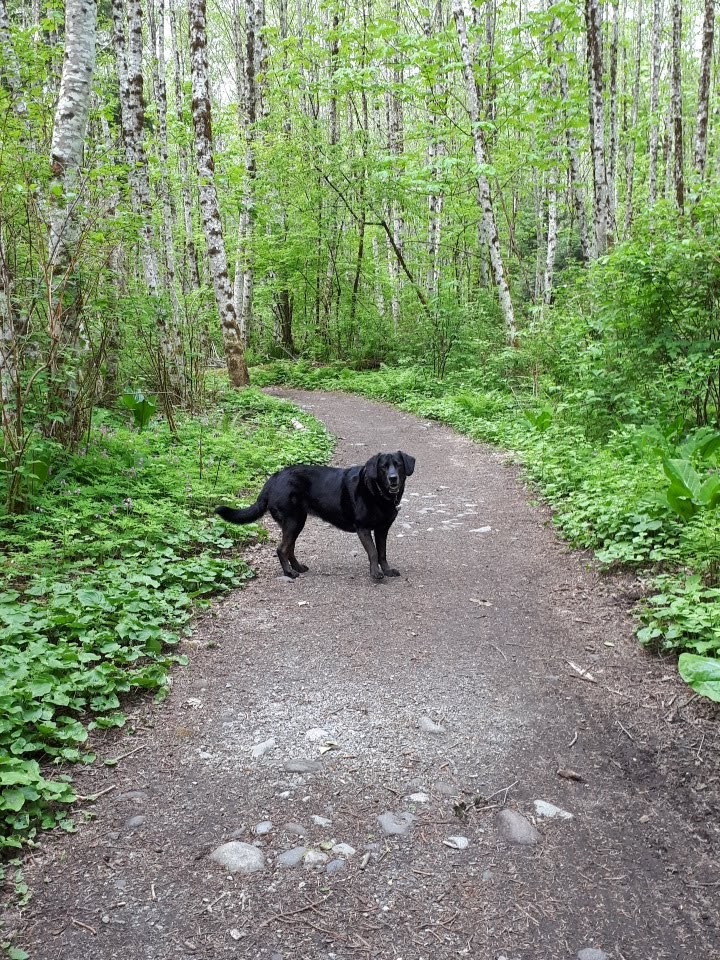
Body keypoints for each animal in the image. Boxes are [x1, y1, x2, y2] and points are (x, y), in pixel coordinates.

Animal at [215, 450, 416, 576]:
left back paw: (297, 568)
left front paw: (387, 571)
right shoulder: (363, 528)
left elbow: (382, 553)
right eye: (383, 467)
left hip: (296, 522)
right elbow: (373, 552)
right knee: (282, 549)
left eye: (398, 465)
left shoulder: (382, 529)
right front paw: (375, 573)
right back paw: (289, 573)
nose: (393, 479)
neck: (377, 492)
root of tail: (273, 479)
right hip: (293, 521)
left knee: (289, 549)